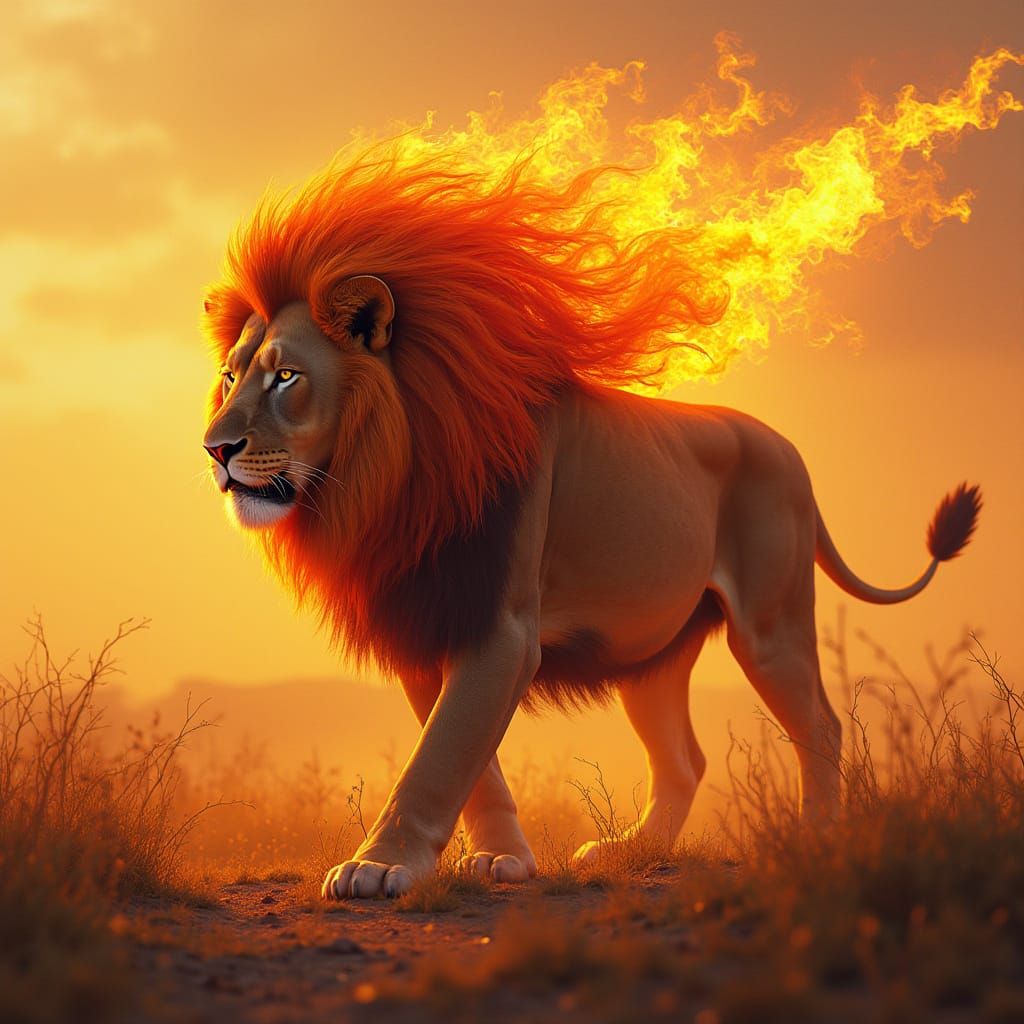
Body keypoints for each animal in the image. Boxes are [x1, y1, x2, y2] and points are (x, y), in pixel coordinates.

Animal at [201, 149, 981, 900]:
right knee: (684, 758)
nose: (215, 449)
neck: (393, 474)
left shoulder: (501, 626)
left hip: (771, 622)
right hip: (653, 649)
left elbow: (440, 756)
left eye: (286, 377)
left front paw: (379, 864)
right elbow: (469, 761)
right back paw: (636, 851)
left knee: (819, 722)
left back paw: (815, 837)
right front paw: (505, 859)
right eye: (232, 375)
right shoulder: (429, 619)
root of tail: (787, 448)